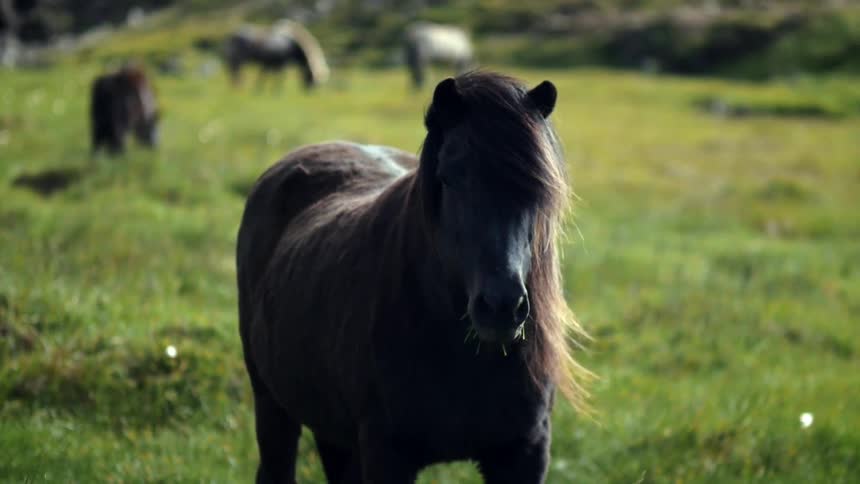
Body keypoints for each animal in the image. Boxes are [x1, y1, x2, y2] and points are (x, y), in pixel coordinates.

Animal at [236, 71, 589, 483]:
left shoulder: (525, 453)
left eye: (538, 187)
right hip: (271, 404)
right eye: (449, 178)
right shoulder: (386, 454)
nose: (501, 307)